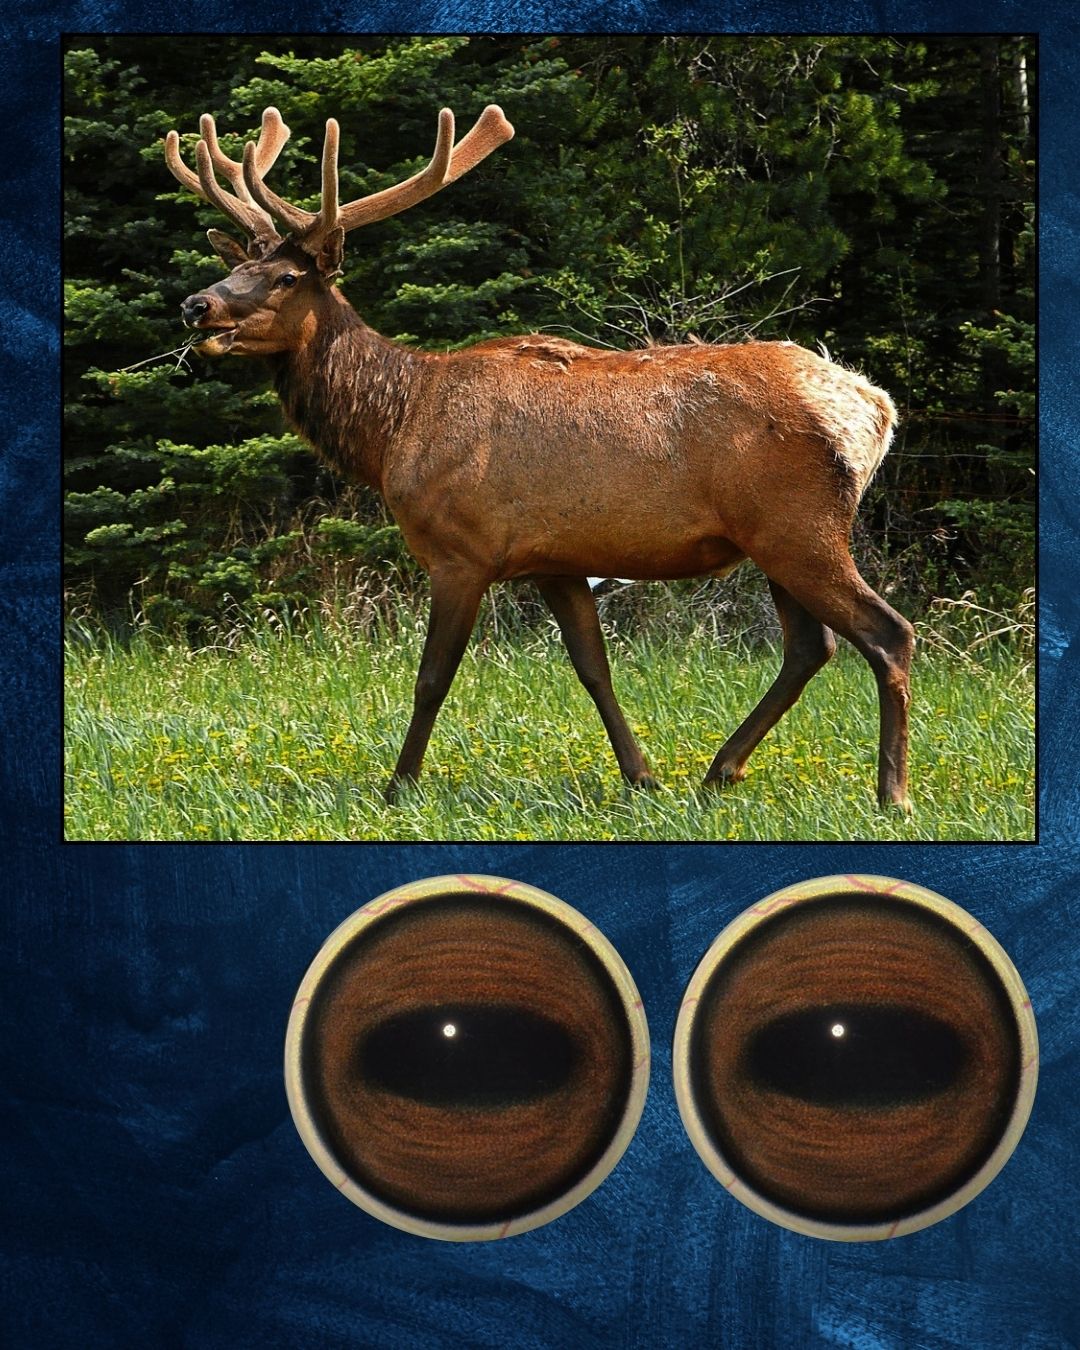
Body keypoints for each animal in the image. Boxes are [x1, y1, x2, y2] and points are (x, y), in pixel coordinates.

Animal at [164, 104, 914, 810]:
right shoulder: (556, 559)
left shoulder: (463, 551)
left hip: (798, 525)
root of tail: (876, 409)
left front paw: (397, 788)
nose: (195, 304)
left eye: (287, 276)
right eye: (236, 265)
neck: (393, 428)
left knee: (887, 632)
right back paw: (718, 772)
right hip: (773, 537)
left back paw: (891, 794)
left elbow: (432, 677)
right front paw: (642, 778)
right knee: (810, 647)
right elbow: (593, 668)